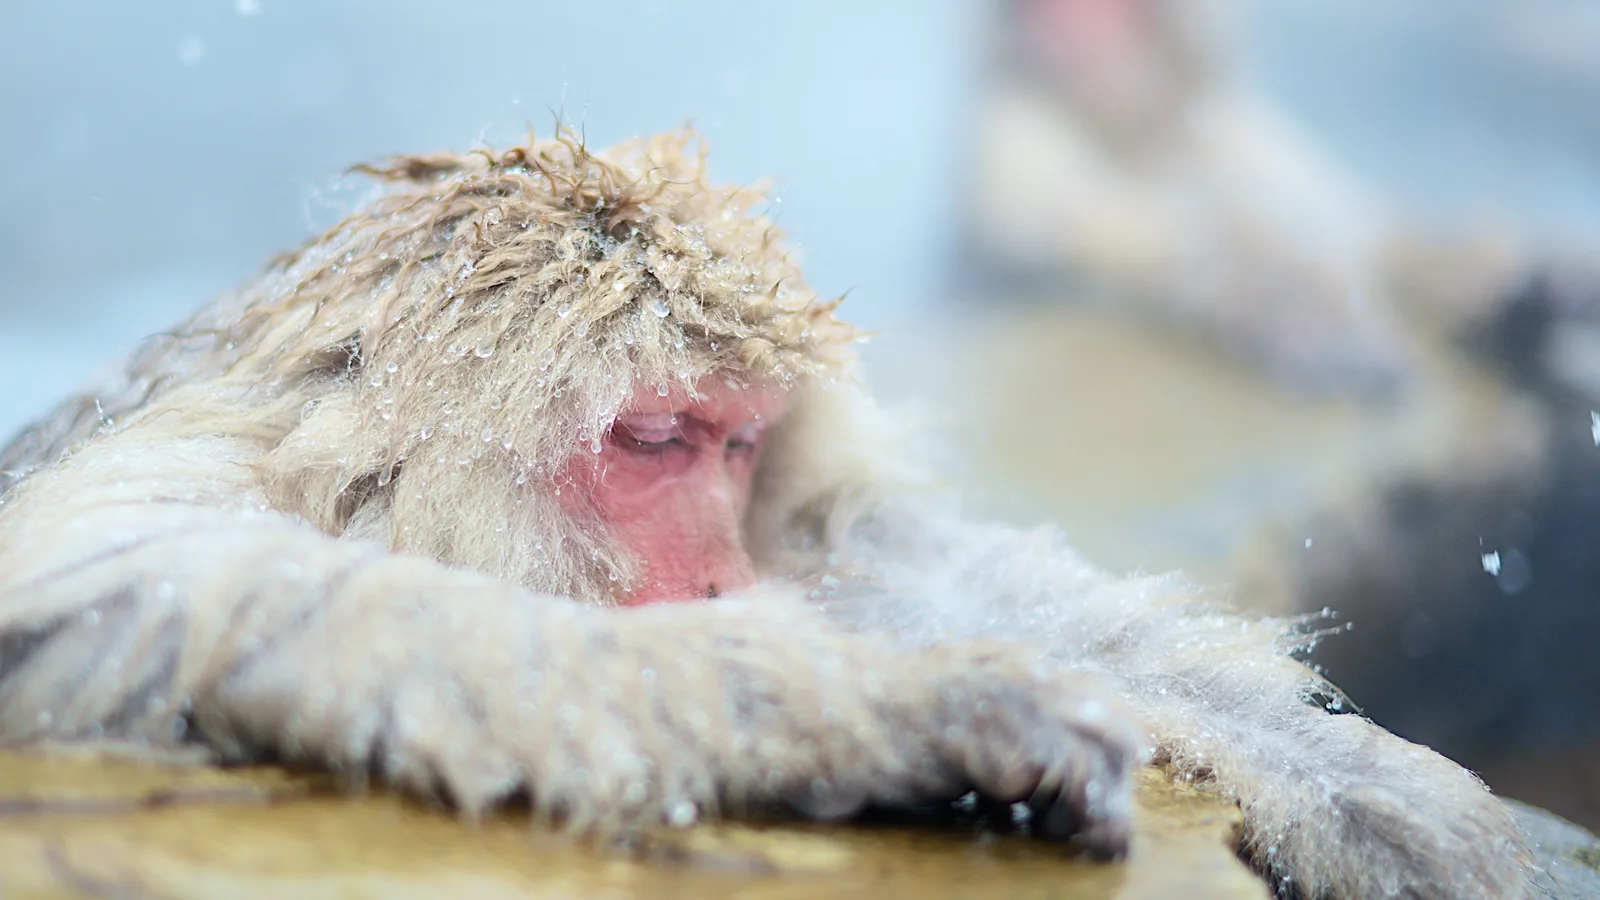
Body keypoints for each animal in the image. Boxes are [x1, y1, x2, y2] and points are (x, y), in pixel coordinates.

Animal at [0, 131, 1535, 898]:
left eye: (738, 447)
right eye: (653, 440)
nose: (722, 573)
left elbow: (914, 576)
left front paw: (1373, 793)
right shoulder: (206, 471)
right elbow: (127, 581)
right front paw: (932, 715)